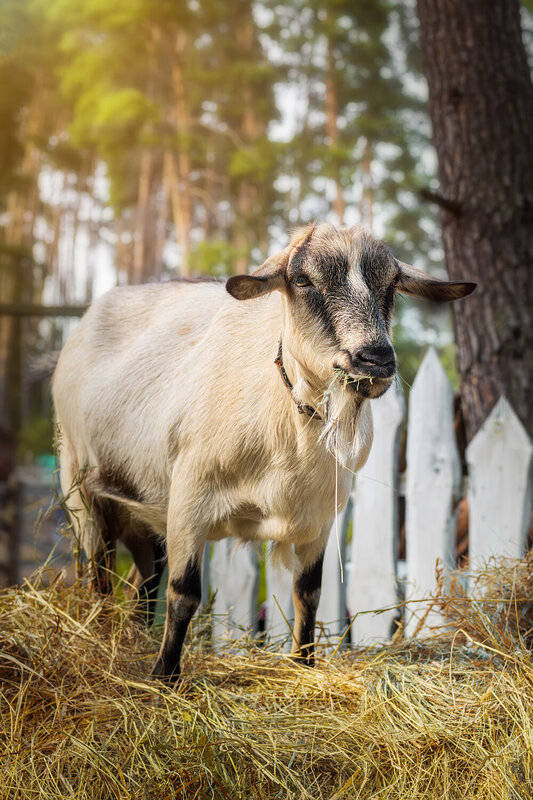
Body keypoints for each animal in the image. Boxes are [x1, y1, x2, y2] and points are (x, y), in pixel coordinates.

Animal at [52, 223, 475, 681]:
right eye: (303, 280)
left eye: (393, 283)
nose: (375, 359)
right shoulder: (188, 499)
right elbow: (183, 594)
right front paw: (164, 679)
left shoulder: (320, 518)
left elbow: (309, 594)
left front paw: (303, 663)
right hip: (81, 490)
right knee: (101, 578)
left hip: (144, 513)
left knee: (143, 585)